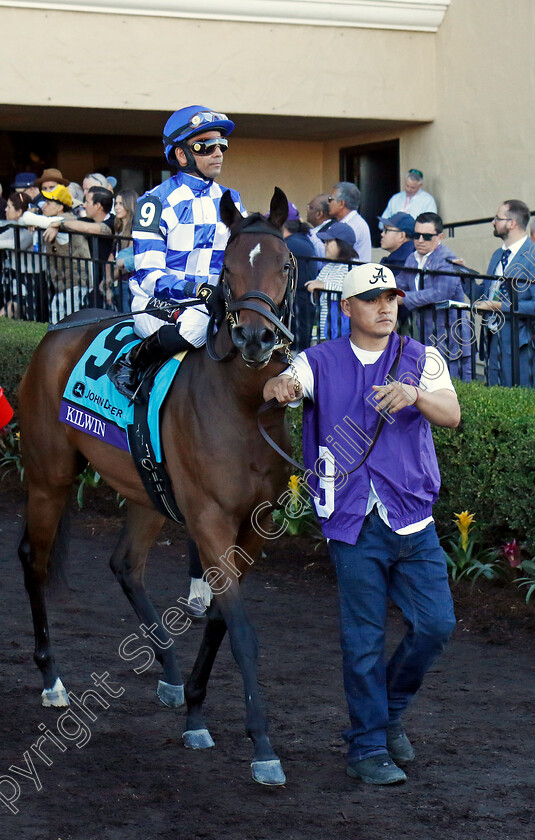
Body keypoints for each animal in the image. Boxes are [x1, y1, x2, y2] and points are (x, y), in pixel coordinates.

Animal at [15, 187, 298, 784]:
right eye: (228, 269)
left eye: (285, 264)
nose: (255, 336)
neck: (242, 406)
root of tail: (56, 330)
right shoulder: (210, 519)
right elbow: (241, 630)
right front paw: (261, 745)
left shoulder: (253, 527)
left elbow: (217, 619)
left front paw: (193, 706)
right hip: (49, 477)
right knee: (35, 558)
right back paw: (52, 680)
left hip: (146, 488)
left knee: (125, 563)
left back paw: (167, 672)